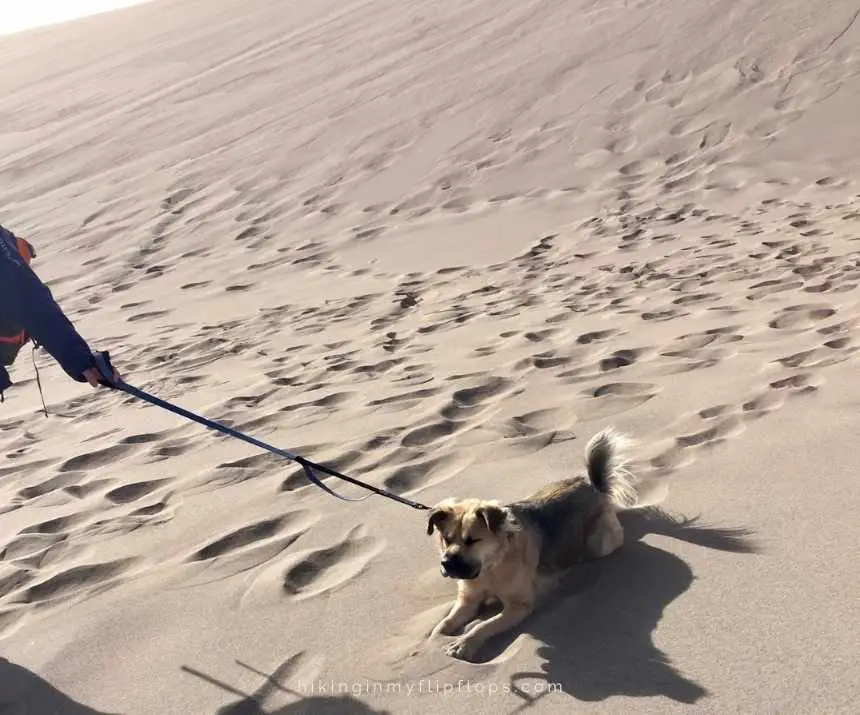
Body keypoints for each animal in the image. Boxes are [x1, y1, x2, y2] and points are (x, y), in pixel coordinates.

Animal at [424, 428, 636, 664]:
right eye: (447, 539)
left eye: (472, 540)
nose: (446, 564)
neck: (490, 568)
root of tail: (593, 486)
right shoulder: (467, 600)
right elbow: (445, 623)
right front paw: (435, 640)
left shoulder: (519, 606)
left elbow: (483, 625)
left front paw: (465, 643)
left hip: (599, 544)